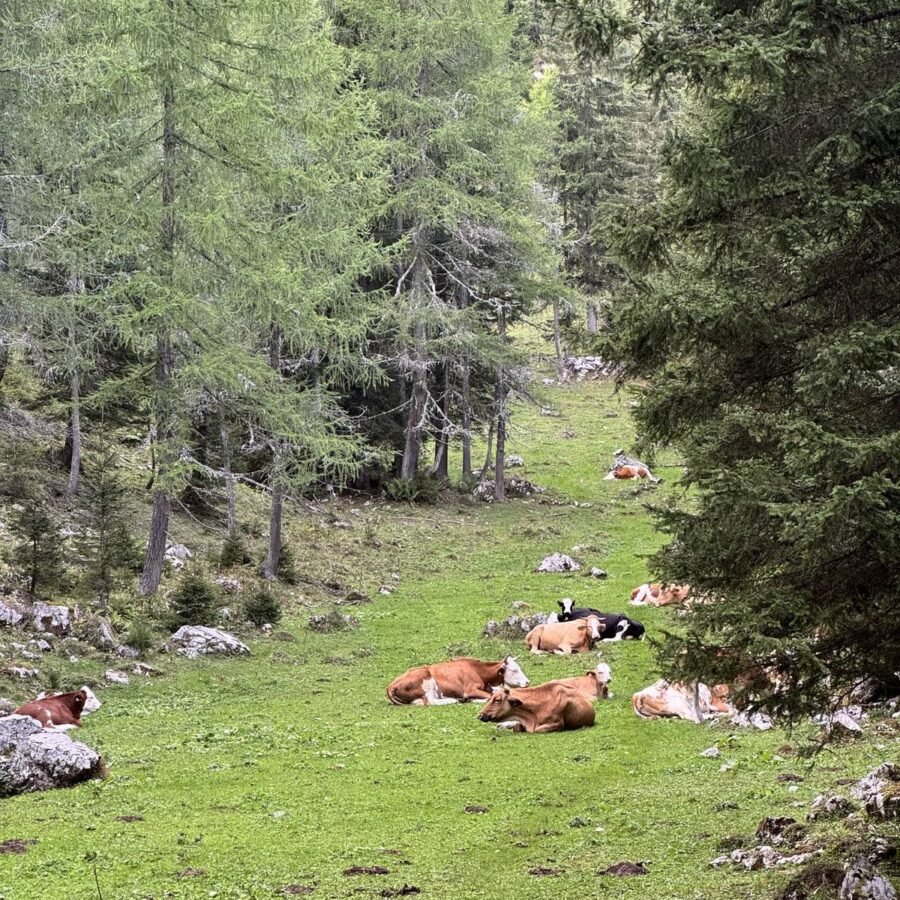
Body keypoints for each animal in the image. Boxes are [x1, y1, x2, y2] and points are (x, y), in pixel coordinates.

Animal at [387, 656, 529, 706]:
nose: (528, 682)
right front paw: (472, 700)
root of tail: (391, 684)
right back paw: (453, 700)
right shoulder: (470, 689)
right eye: (514, 670)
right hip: (426, 679)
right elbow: (490, 696)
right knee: (429, 701)